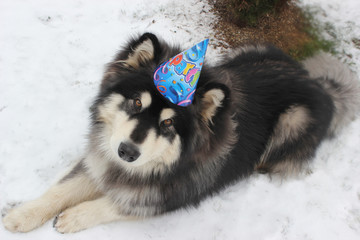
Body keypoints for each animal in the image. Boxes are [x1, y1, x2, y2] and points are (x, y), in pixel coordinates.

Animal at [2, 32, 360, 233]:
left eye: (168, 124)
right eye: (136, 103)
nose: (127, 152)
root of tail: (320, 86)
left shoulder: (178, 192)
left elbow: (117, 204)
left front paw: (75, 217)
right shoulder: (102, 159)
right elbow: (61, 189)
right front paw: (22, 215)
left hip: (293, 120)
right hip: (252, 50)